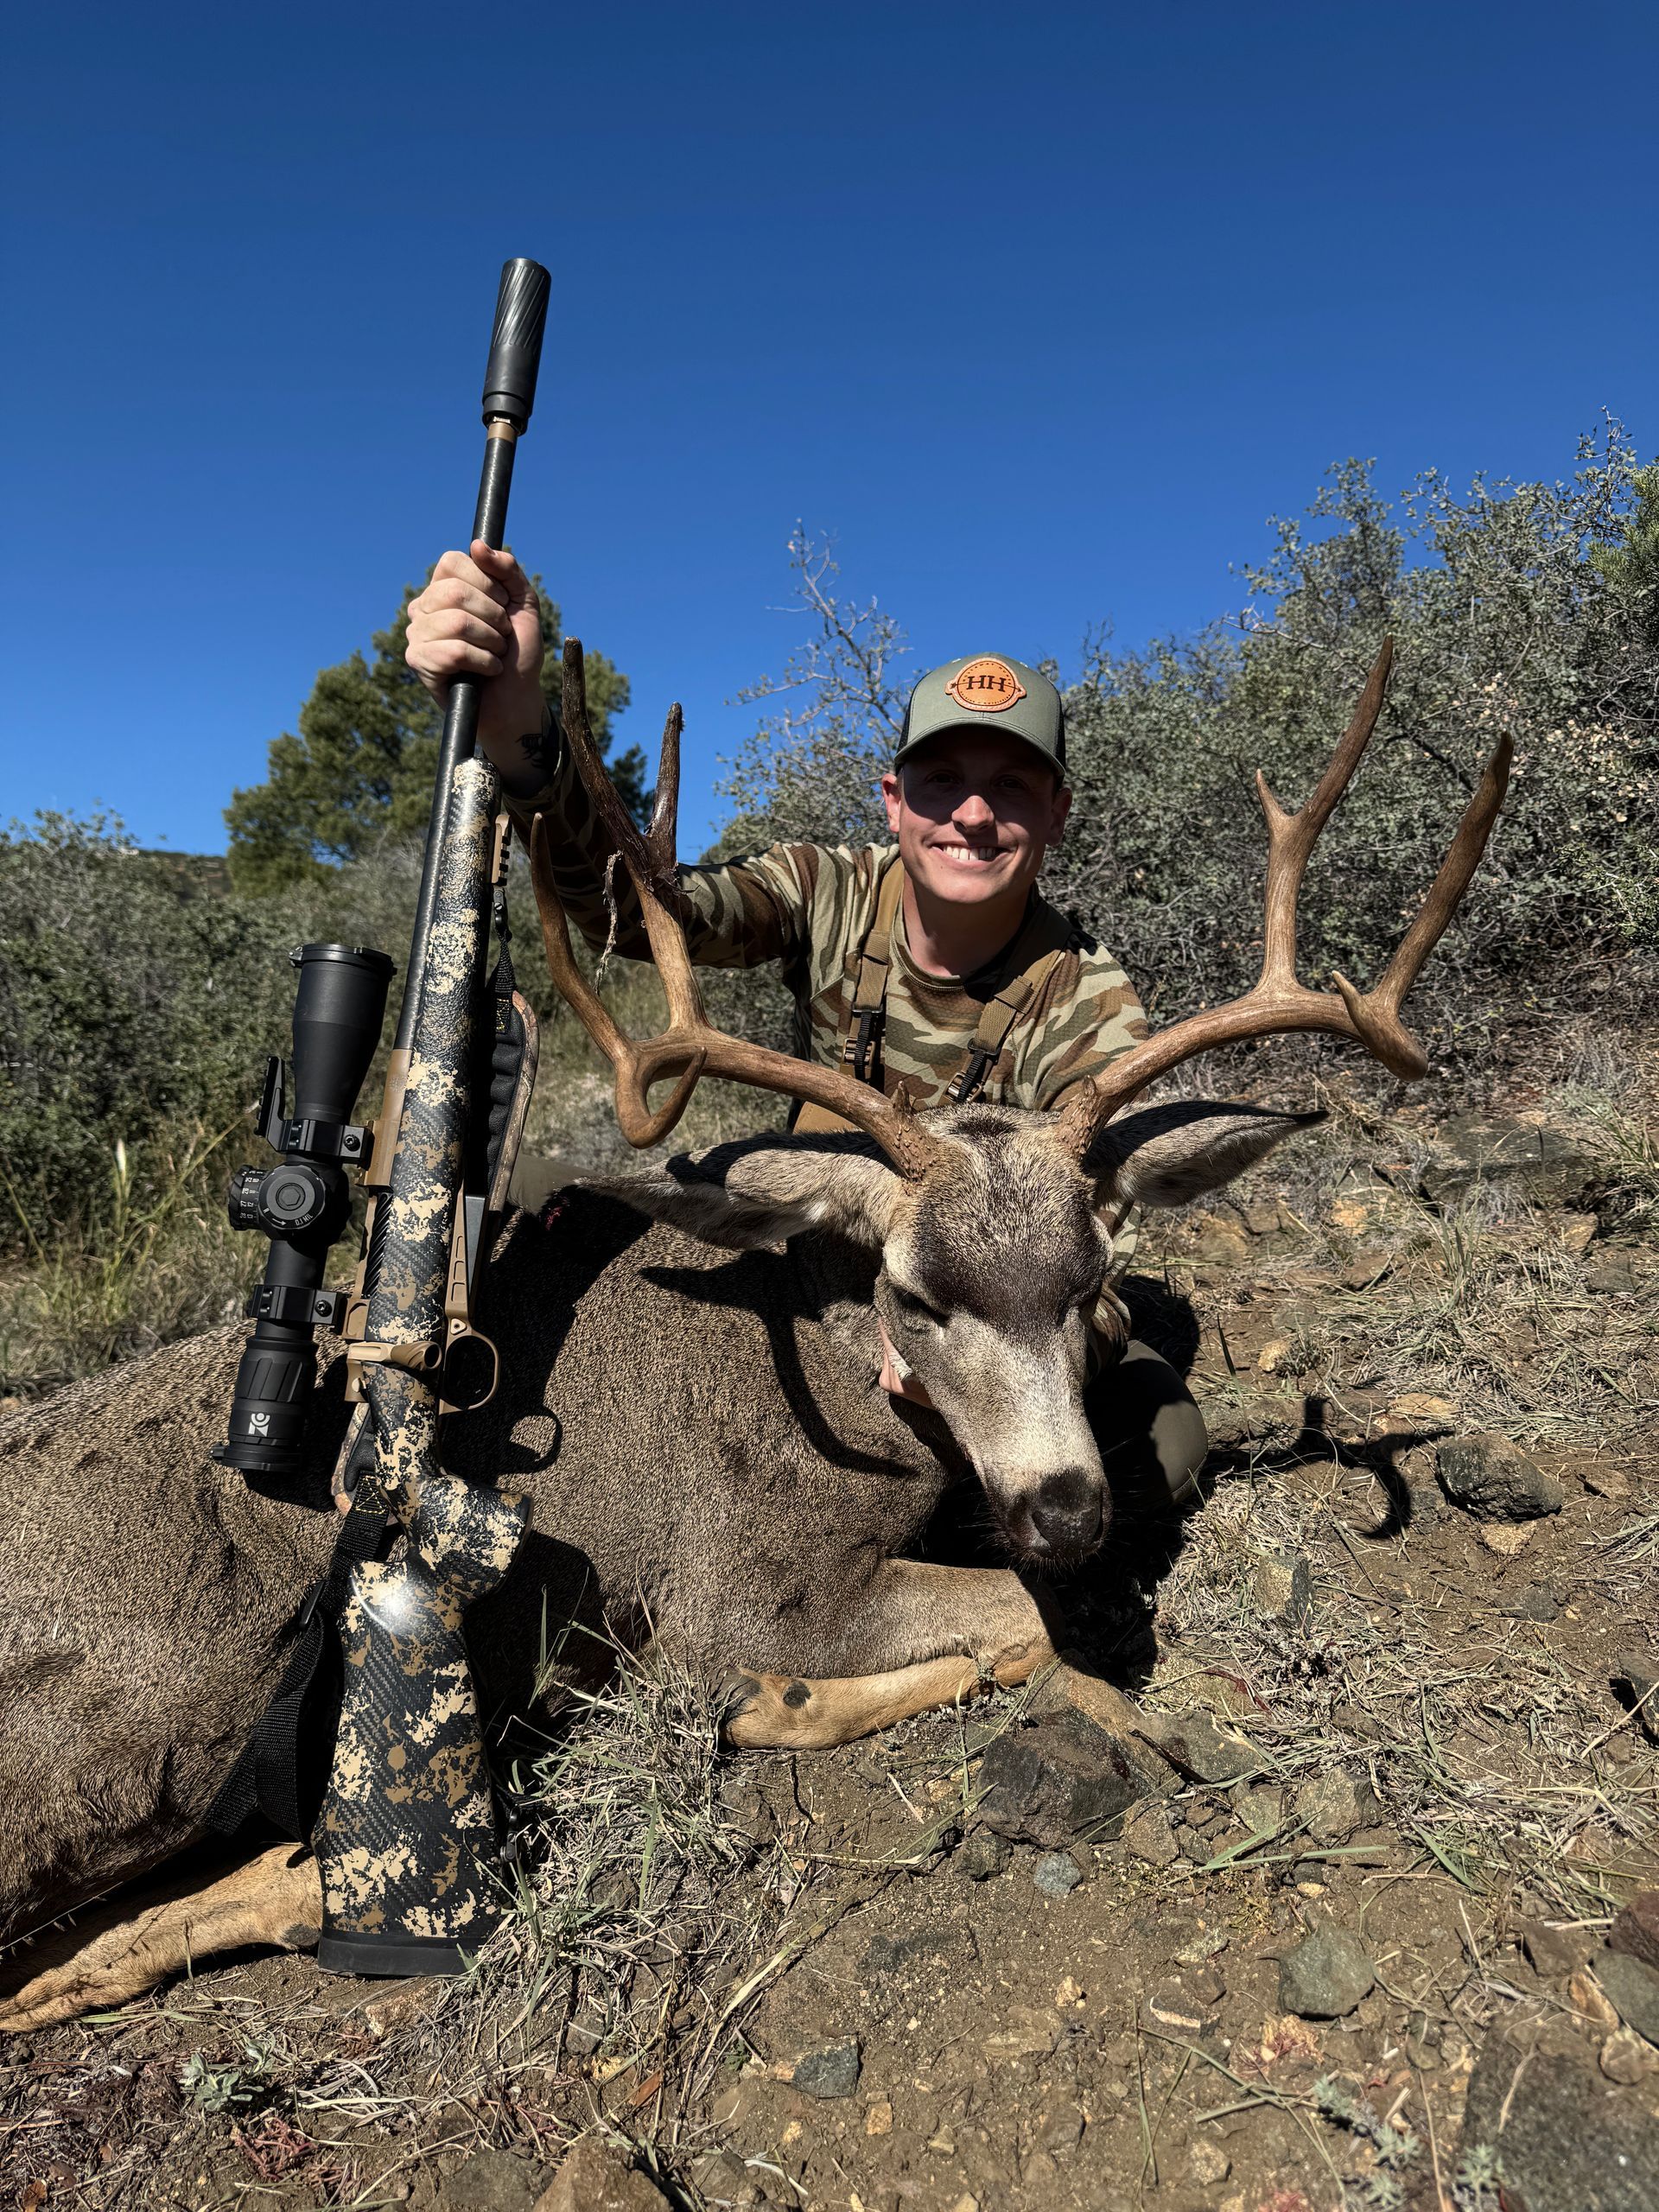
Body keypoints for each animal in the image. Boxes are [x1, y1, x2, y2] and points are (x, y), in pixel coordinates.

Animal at [0, 640, 1508, 2029]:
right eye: (915, 1293)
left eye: (1094, 1280)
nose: (1071, 1505)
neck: (848, 1399)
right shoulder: (742, 1582)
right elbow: (1024, 1619)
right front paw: (791, 1698)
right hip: (160, 1704)